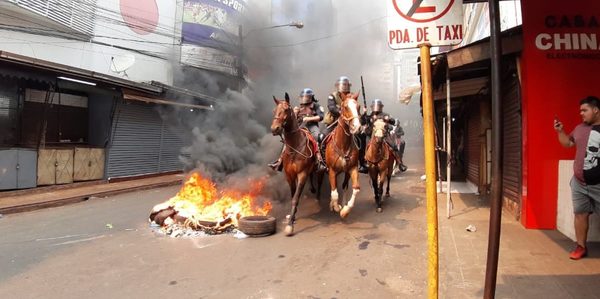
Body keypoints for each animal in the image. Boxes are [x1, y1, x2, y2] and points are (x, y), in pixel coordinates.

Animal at [272, 92, 318, 236]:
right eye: (274, 110)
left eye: (286, 109)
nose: (274, 129)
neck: (295, 147)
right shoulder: (289, 175)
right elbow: (293, 195)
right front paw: (292, 217)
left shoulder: (302, 174)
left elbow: (295, 198)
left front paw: (289, 225)